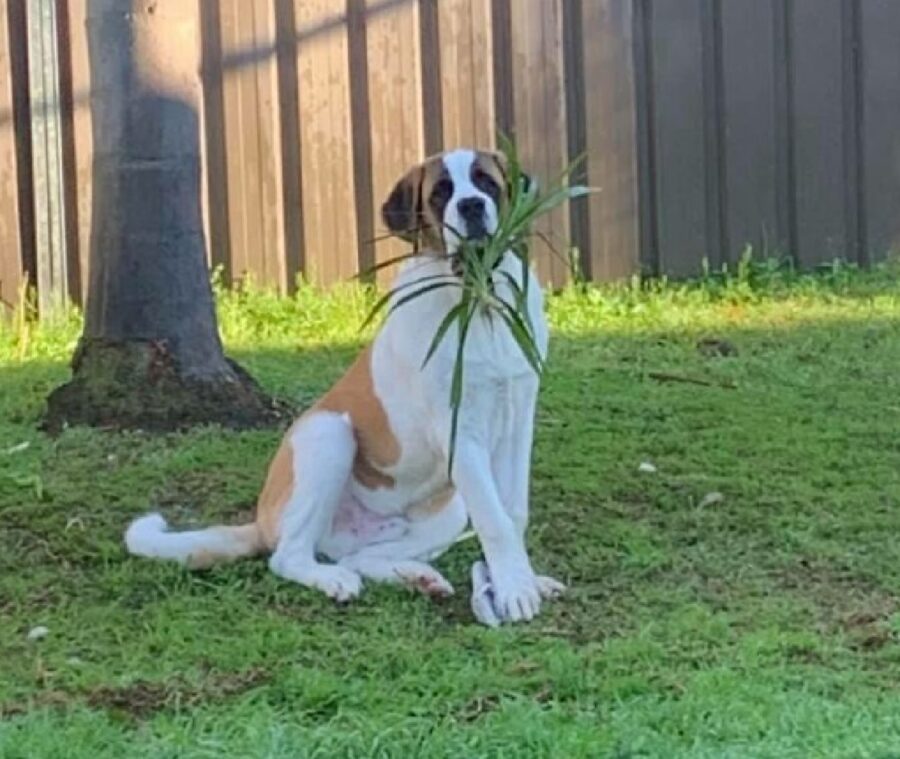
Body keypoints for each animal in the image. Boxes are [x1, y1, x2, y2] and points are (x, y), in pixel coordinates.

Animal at [125, 147, 564, 624]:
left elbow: (512, 511)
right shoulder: (457, 430)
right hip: (327, 433)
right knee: (289, 556)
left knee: (361, 555)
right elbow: (495, 520)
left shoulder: (519, 418)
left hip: (446, 509)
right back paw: (334, 579)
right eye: (441, 193)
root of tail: (263, 518)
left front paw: (521, 580)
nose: (470, 207)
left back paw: (418, 577)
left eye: (485, 182)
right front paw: (515, 591)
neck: (479, 299)